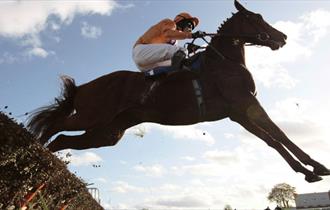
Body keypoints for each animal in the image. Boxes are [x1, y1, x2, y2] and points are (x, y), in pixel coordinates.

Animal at [26, 0, 330, 182]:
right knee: (55, 126)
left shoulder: (238, 113)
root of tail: (86, 86)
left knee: (61, 140)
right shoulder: (245, 104)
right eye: (257, 17)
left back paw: (38, 167)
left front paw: (307, 171)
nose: (283, 37)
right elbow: (279, 134)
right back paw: (30, 154)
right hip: (92, 116)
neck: (224, 61)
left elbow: (272, 140)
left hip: (107, 132)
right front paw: (316, 167)